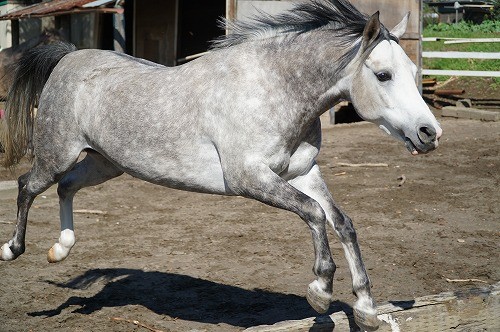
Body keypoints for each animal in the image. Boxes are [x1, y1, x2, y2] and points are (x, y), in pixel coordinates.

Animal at [1, 1, 444, 330]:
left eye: (413, 71)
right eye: (383, 75)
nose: (430, 133)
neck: (274, 88)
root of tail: (67, 59)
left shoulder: (303, 173)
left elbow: (343, 223)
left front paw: (367, 308)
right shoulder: (250, 178)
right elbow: (314, 214)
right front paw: (319, 291)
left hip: (105, 164)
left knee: (65, 187)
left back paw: (60, 250)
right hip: (56, 154)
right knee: (27, 185)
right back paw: (13, 250)